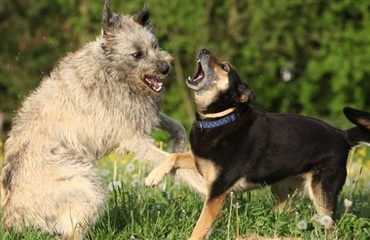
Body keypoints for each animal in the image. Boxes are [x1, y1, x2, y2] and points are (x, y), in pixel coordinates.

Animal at [0, 0, 205, 239]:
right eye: (137, 54)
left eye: (155, 45)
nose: (165, 68)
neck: (111, 69)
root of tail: (11, 217)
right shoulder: (133, 139)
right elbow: (173, 163)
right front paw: (204, 186)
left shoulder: (141, 115)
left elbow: (177, 126)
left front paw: (178, 143)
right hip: (86, 183)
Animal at [145, 48, 370, 240]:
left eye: (225, 67)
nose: (204, 50)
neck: (221, 117)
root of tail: (342, 135)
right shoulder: (201, 161)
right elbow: (174, 156)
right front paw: (153, 176)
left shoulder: (217, 193)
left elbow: (200, 228)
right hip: (283, 192)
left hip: (322, 193)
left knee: (331, 227)